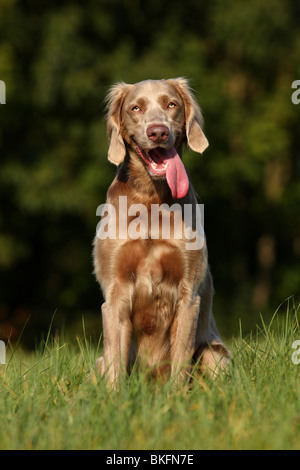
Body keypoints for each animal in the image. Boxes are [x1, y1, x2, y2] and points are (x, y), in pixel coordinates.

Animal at [94, 77, 230, 388]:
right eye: (136, 107)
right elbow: (116, 362)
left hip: (215, 354)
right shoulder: (115, 290)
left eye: (172, 104)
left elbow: (180, 360)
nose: (158, 132)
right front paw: (114, 397)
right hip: (98, 362)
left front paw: (175, 397)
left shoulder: (188, 293)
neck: (150, 199)